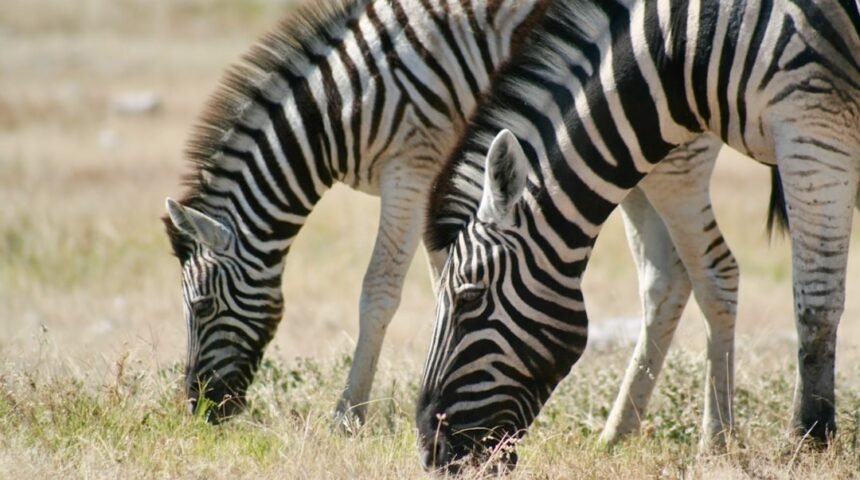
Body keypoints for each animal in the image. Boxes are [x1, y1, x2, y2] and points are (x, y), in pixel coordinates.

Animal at [161, 0, 734, 429]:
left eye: (203, 304)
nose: (199, 410)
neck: (342, 108)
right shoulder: (438, 188)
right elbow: (444, 279)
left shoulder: (410, 170)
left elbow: (379, 291)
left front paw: (349, 416)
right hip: (624, 164)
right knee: (666, 280)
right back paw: (619, 431)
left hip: (671, 161)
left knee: (714, 271)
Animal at [417, 0, 859, 470]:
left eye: (469, 298)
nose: (429, 452)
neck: (687, 44)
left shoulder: (815, 128)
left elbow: (815, 300)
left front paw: (810, 438)